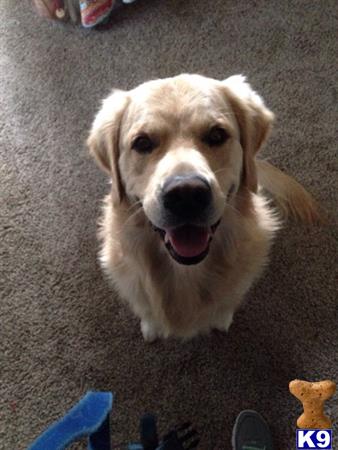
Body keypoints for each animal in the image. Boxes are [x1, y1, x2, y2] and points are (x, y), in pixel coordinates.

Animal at [88, 74, 320, 342]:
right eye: (142, 142)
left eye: (217, 135)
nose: (186, 194)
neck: (186, 272)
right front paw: (151, 326)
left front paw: (221, 319)